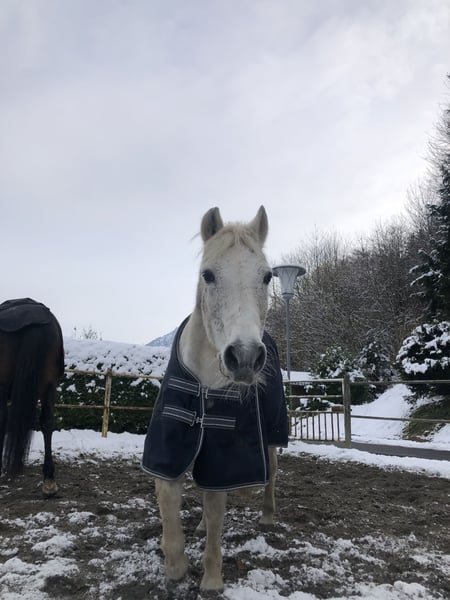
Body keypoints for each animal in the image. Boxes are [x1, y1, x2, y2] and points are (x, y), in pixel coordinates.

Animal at [142, 206, 288, 591]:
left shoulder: (223, 459)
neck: (204, 385)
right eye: (207, 275)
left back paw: (268, 515)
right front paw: (175, 568)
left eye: (267, 276)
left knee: (272, 471)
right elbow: (170, 511)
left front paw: (211, 580)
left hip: (273, 432)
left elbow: (217, 514)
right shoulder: (167, 453)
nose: (245, 357)